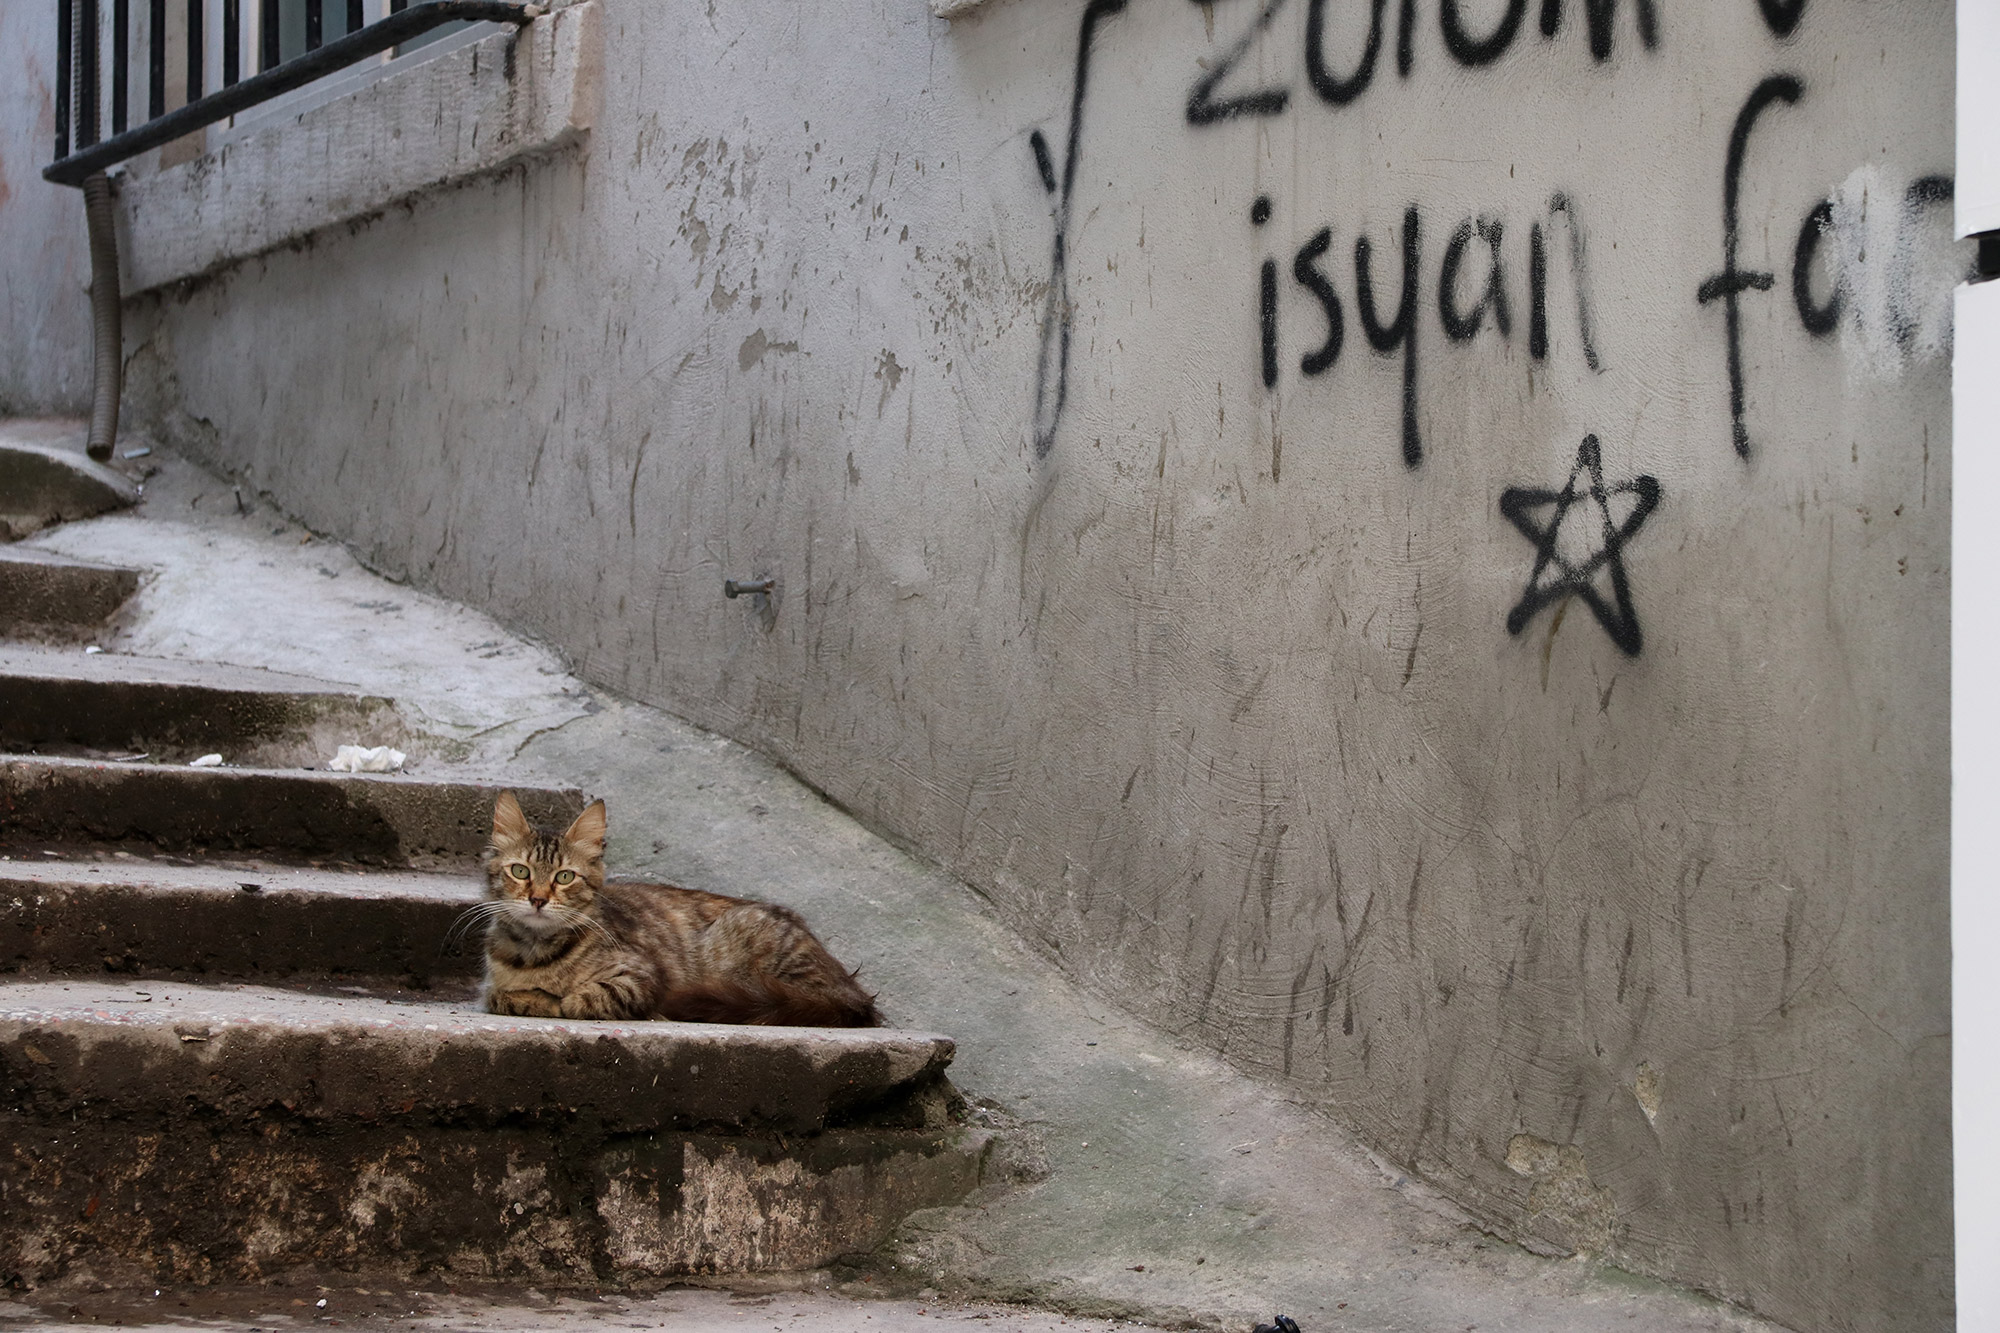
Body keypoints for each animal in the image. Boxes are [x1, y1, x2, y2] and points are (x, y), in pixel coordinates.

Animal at [476, 788, 884, 1024]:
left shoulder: (641, 976)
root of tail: (852, 992)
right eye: (520, 871)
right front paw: (526, 998)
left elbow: (580, 1000)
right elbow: (497, 996)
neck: (533, 952)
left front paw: (546, 999)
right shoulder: (493, 985)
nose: (538, 900)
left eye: (564, 877)